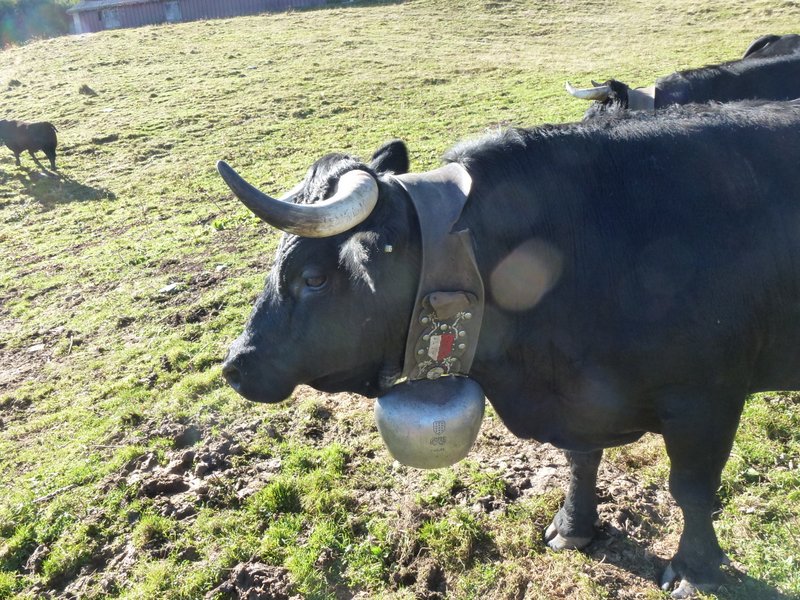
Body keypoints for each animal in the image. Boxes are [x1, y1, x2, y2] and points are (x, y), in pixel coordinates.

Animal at [219, 101, 800, 596]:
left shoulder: (707, 397)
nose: (235, 364)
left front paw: (696, 571)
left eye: (313, 277)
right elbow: (580, 459)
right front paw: (574, 526)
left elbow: (692, 489)